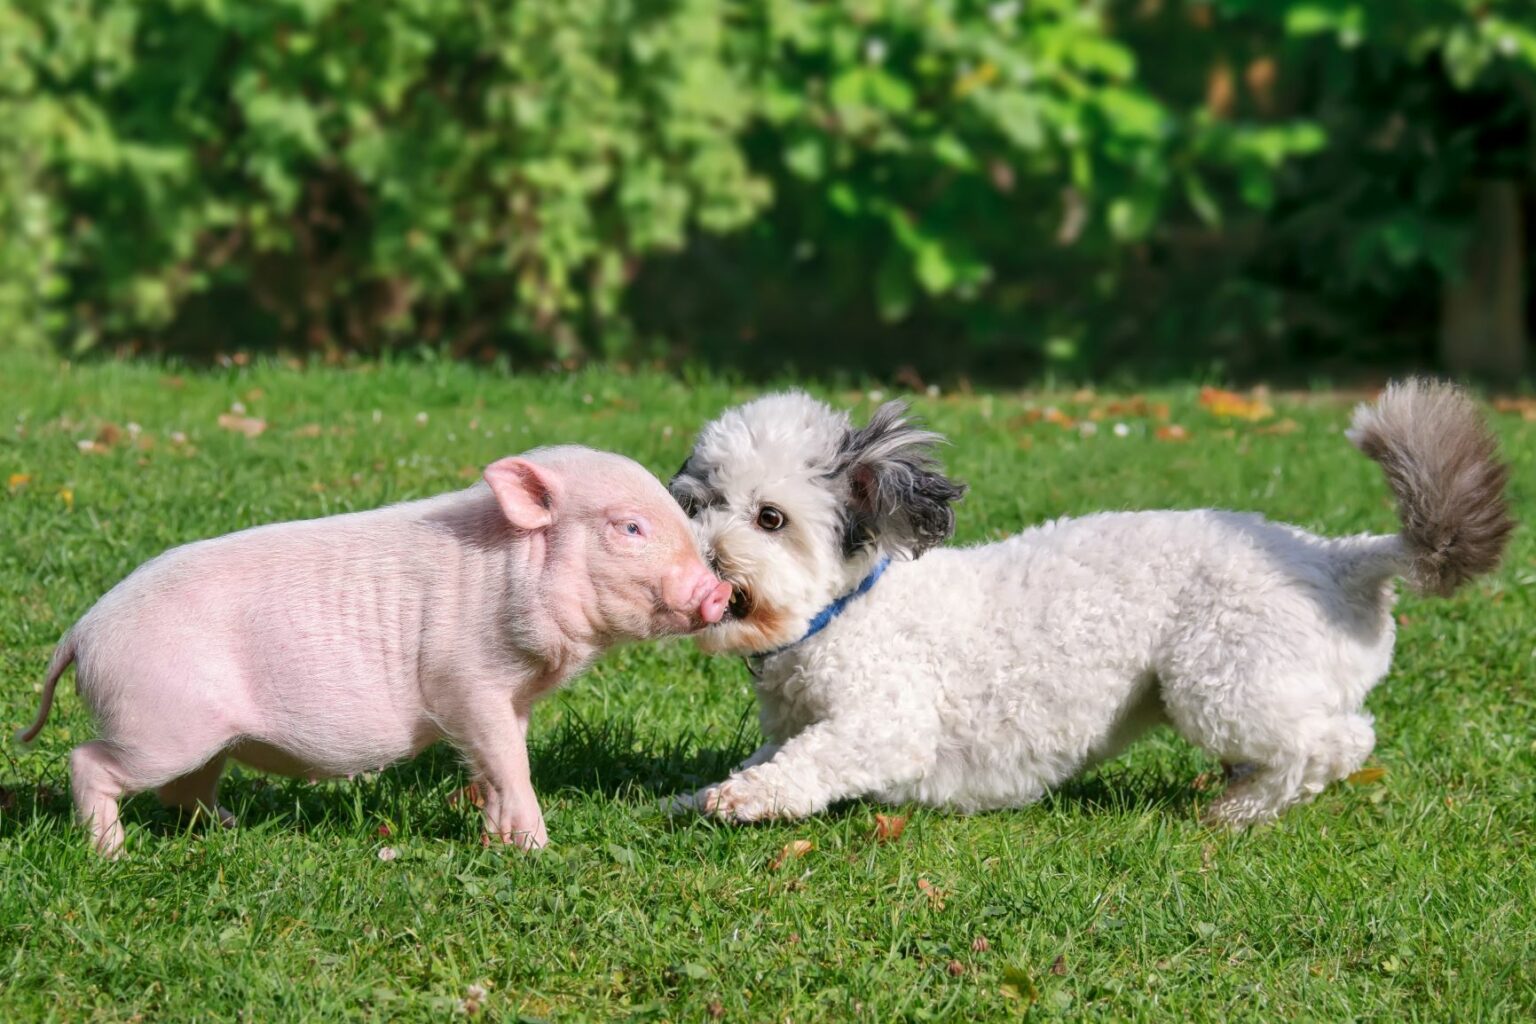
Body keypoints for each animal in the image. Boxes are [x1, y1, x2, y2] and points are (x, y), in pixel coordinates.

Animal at [672, 380, 1511, 829]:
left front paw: (746, 798)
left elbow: (810, 760)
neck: (845, 612)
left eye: (770, 517)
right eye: (699, 504)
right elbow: (769, 752)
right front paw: (694, 794)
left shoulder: (887, 721)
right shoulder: (789, 720)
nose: (704, 558)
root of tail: (1340, 556)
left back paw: (1241, 810)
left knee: (1335, 742)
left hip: (1221, 680)